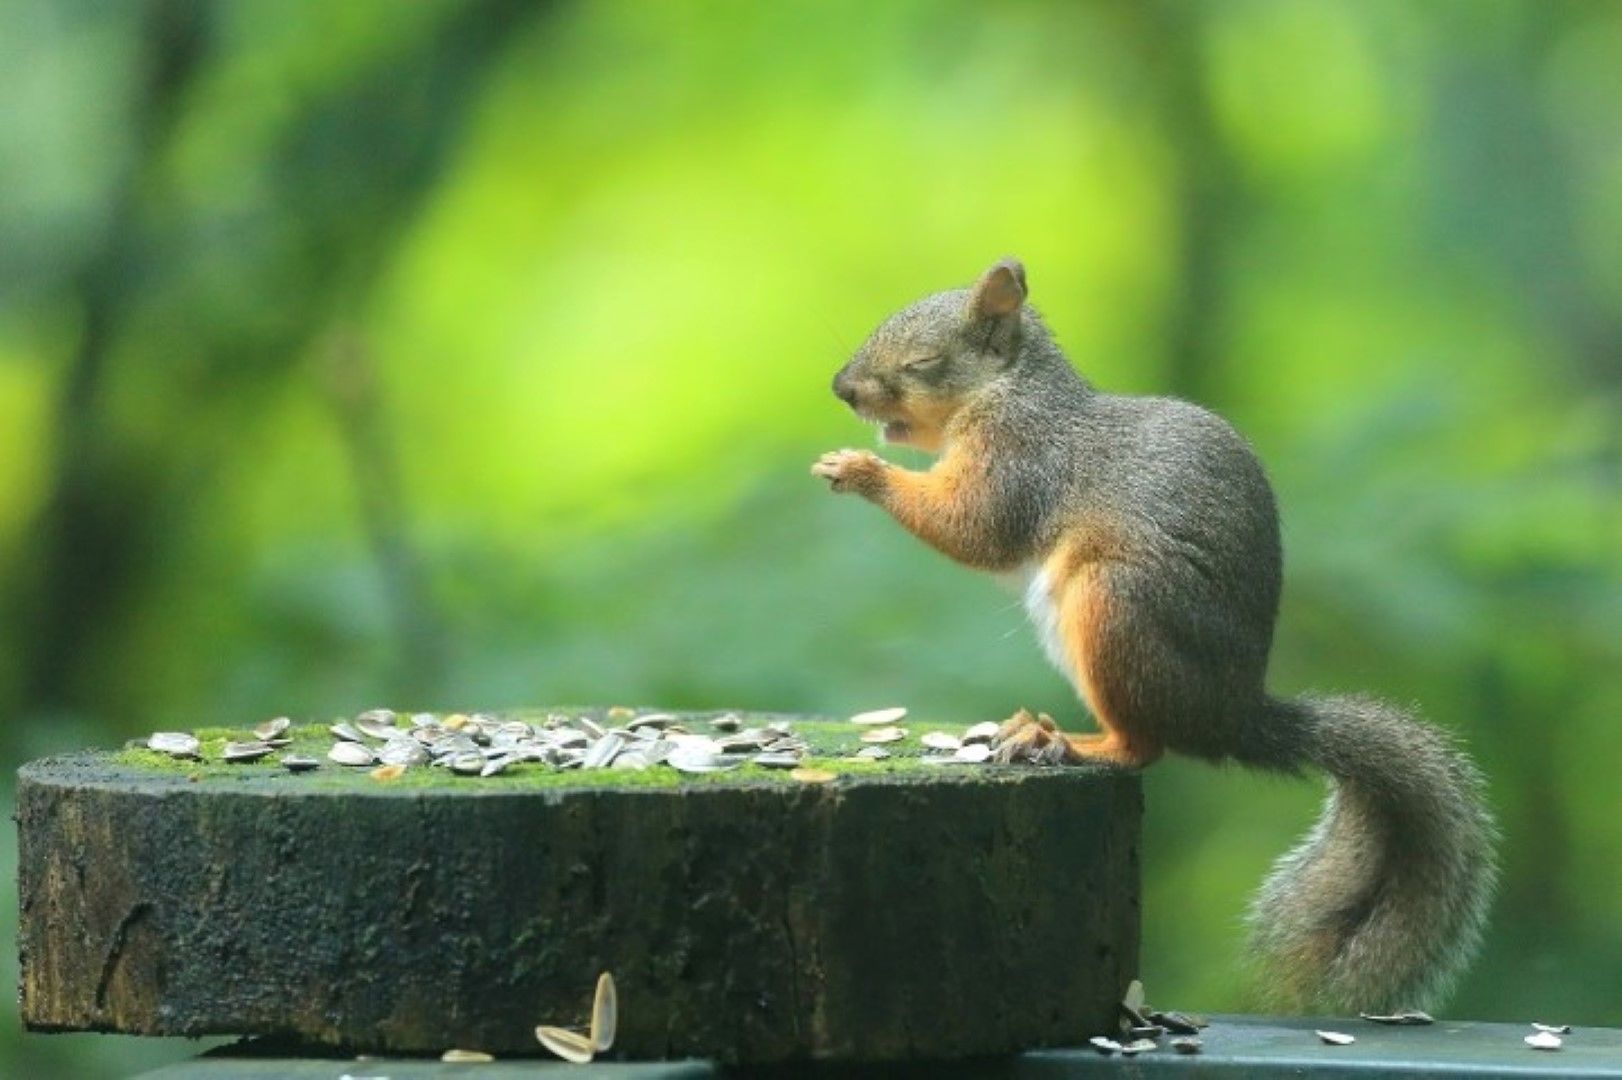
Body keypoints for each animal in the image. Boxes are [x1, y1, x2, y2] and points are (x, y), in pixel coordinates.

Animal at [812, 257, 1497, 1014]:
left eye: (922, 362)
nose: (842, 388)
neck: (1008, 392)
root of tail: (1230, 717)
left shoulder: (1019, 458)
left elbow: (975, 525)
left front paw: (858, 471)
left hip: (1115, 607)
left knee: (1142, 747)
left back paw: (1065, 743)